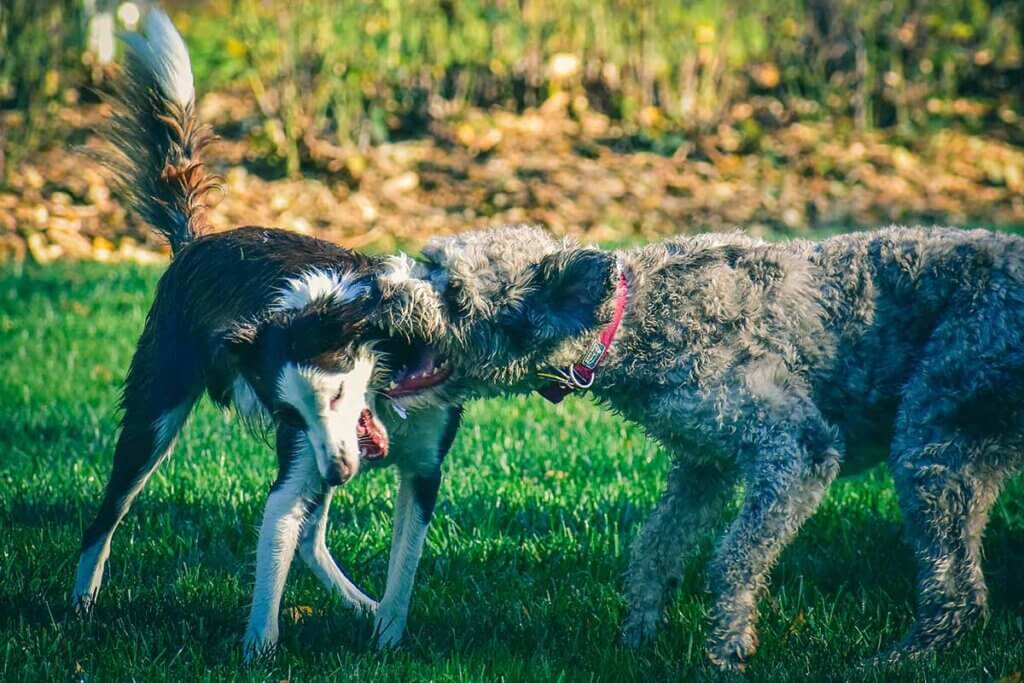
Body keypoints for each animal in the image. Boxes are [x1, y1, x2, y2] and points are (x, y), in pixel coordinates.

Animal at [69, 10, 456, 659]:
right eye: (290, 413)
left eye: (335, 394)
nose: (341, 475)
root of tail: (195, 242)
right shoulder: (299, 463)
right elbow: (273, 552)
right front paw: (260, 651)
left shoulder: (419, 470)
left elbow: (402, 571)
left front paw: (386, 638)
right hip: (153, 417)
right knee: (105, 518)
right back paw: (78, 607)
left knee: (312, 537)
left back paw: (360, 604)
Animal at [376, 224, 1024, 667]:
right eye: (429, 263)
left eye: (455, 295)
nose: (380, 290)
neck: (633, 319)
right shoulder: (701, 466)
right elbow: (653, 550)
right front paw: (637, 637)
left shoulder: (796, 452)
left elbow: (732, 559)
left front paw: (727, 648)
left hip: (930, 445)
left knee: (958, 589)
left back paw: (897, 660)